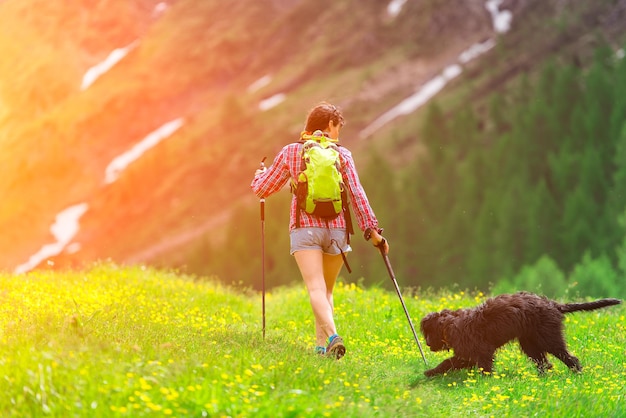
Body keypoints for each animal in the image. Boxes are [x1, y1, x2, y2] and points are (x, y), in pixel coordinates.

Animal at [420, 292, 620, 378]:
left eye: (430, 332)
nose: (428, 344)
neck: (451, 325)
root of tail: (554, 305)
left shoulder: (482, 351)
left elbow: (482, 366)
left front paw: (485, 381)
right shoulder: (467, 354)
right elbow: (448, 363)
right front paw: (432, 372)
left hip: (549, 338)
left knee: (569, 357)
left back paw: (577, 373)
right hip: (529, 342)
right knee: (545, 363)